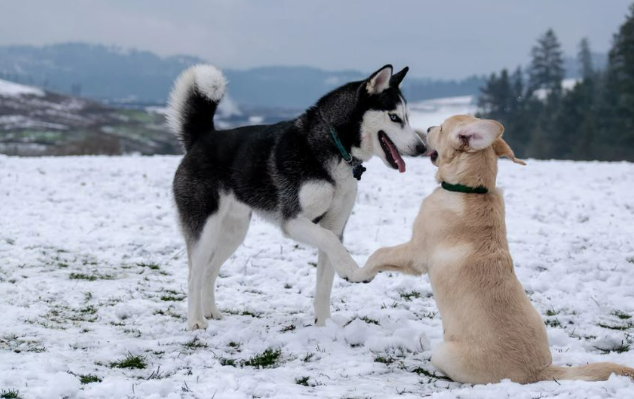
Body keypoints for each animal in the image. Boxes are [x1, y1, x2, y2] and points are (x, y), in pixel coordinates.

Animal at [168, 64, 424, 330]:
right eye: (394, 117)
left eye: (407, 117)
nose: (422, 148)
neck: (335, 145)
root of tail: (202, 137)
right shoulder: (293, 221)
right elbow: (330, 244)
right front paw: (352, 270)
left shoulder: (334, 225)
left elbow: (325, 281)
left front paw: (324, 324)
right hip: (205, 229)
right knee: (194, 276)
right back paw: (196, 321)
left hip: (233, 232)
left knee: (209, 271)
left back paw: (211, 312)